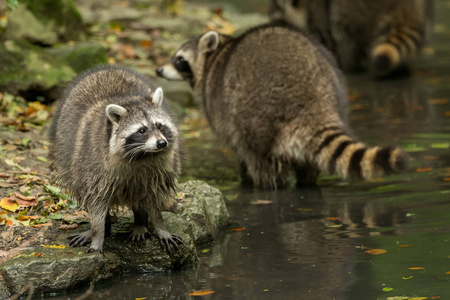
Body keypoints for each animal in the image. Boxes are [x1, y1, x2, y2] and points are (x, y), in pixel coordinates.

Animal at [49, 65, 183, 253]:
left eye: (159, 125)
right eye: (142, 130)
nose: (161, 143)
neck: (142, 155)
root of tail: (108, 68)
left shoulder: (160, 169)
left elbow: (154, 197)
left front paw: (159, 226)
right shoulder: (93, 166)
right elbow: (96, 201)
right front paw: (97, 234)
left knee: (140, 193)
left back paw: (140, 222)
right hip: (69, 157)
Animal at [156, 22, 406, 190]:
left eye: (179, 60)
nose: (158, 70)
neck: (219, 52)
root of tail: (314, 101)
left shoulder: (216, 99)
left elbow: (237, 147)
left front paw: (244, 176)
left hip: (254, 116)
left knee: (259, 159)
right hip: (334, 83)